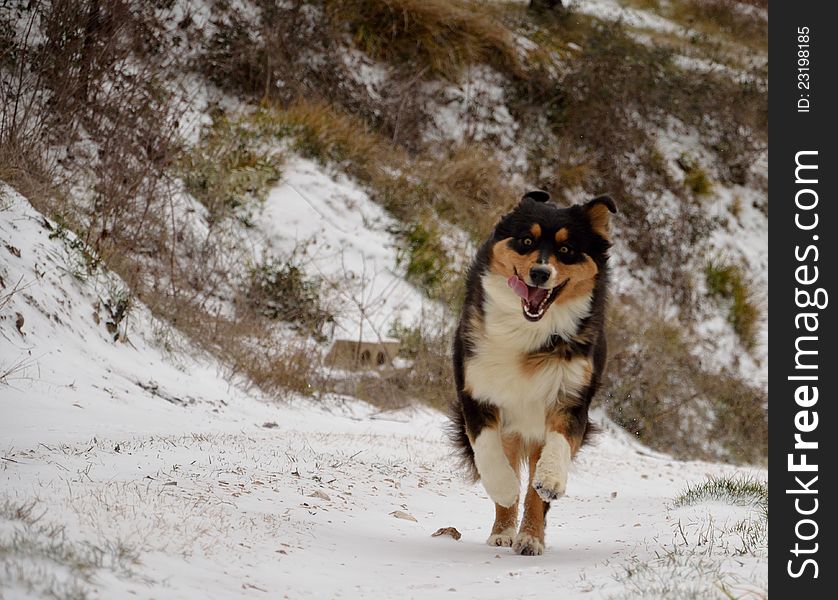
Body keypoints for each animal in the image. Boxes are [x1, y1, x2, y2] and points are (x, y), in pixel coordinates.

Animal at [452, 190, 616, 556]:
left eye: (566, 250)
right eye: (526, 241)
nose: (540, 273)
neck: (528, 332)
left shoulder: (572, 396)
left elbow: (557, 449)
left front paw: (552, 479)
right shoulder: (474, 387)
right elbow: (487, 450)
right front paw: (503, 488)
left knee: (534, 493)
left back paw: (529, 537)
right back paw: (503, 530)